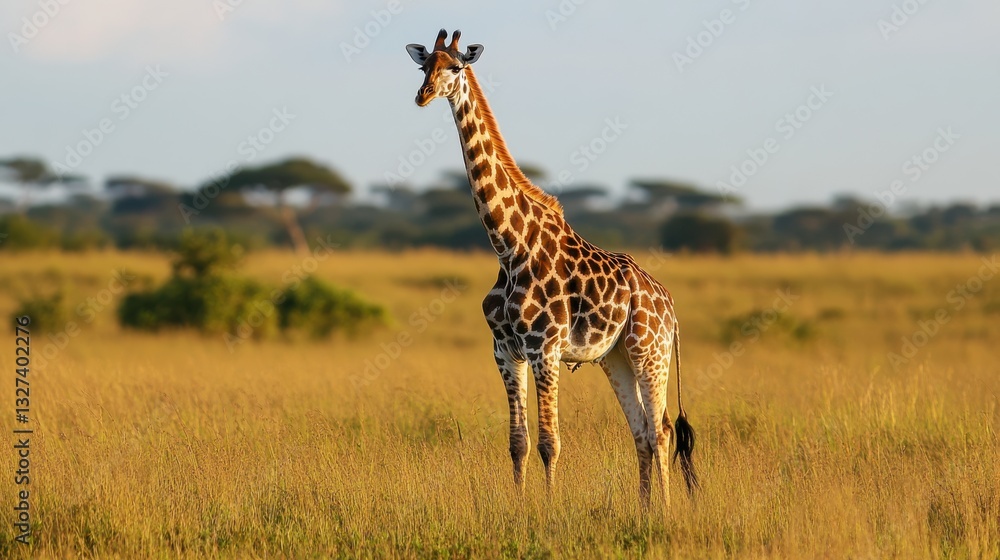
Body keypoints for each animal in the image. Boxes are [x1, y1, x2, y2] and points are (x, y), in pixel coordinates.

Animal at [406, 29, 697, 508]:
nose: (423, 95)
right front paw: (521, 506)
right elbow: (518, 442)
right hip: (615, 356)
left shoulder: (545, 348)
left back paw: (667, 513)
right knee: (640, 430)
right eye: (423, 64)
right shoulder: (505, 350)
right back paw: (643, 510)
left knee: (662, 430)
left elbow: (549, 442)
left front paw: (549, 508)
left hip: (648, 351)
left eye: (456, 67)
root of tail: (671, 306)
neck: (509, 246)